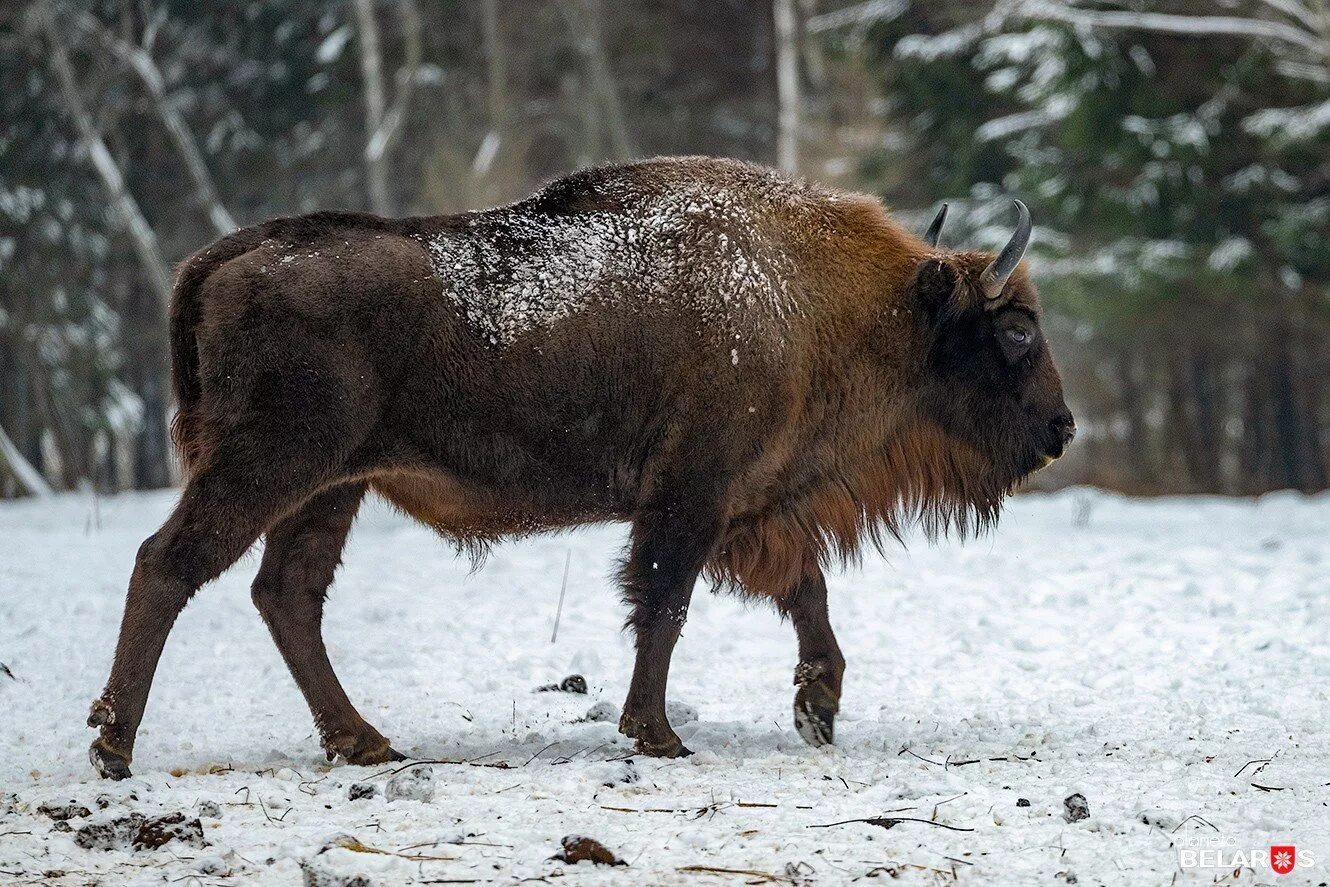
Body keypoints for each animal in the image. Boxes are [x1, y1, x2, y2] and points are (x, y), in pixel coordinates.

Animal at [88, 157, 1069, 776]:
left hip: (331, 488)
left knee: (285, 594)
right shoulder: (692, 497)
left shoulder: (748, 505)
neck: (811, 294)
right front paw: (658, 734)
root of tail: (224, 255)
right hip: (268, 467)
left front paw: (817, 710)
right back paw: (113, 746)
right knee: (168, 563)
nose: (1063, 426)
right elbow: (665, 604)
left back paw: (364, 741)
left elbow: (803, 588)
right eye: (1018, 329)